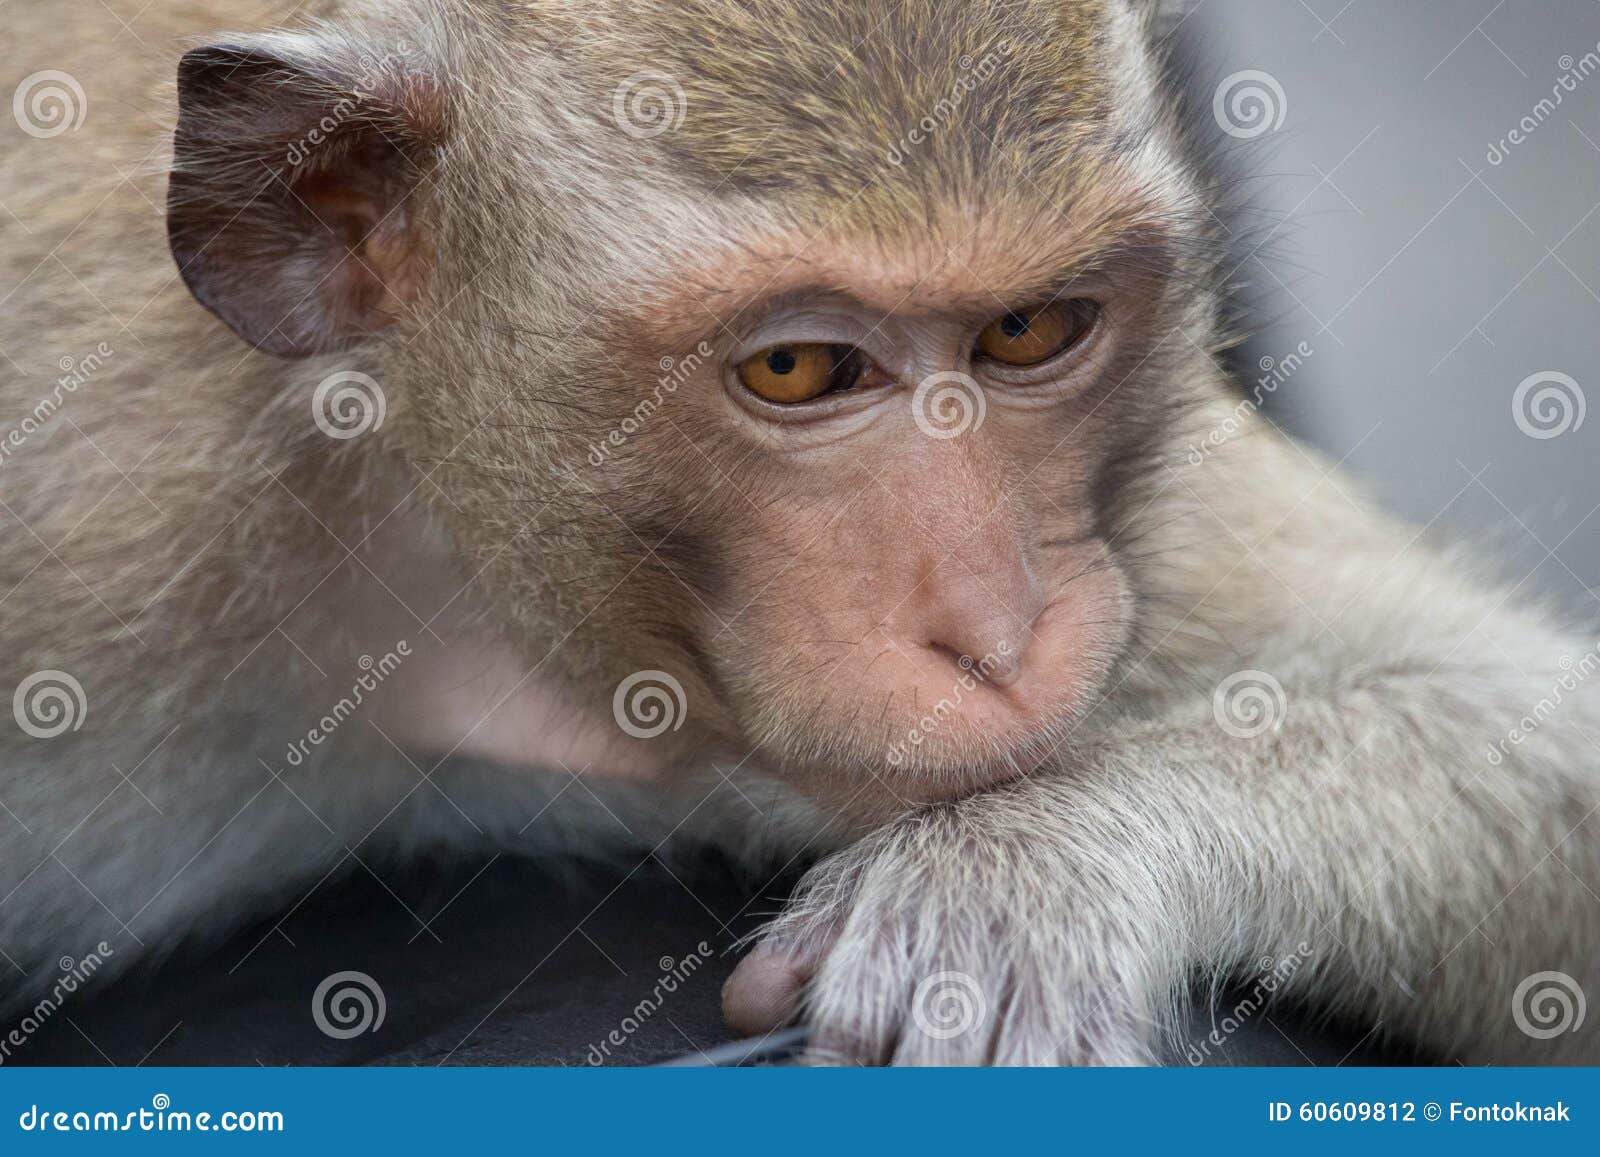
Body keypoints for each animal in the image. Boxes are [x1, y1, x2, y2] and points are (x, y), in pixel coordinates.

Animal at [3, 0, 1600, 1068]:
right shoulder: (94, 503)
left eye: (1028, 331)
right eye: (795, 369)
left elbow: (1520, 710)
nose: (999, 629)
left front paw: (1022, 876)